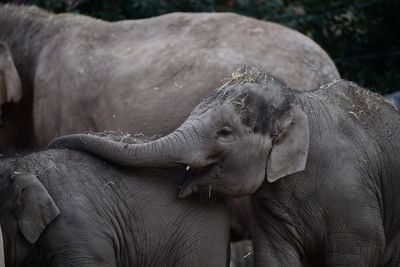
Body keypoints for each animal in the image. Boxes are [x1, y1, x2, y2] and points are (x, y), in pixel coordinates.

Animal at [50, 66, 400, 266]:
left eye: (225, 133)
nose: (54, 142)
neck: (299, 101)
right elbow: (273, 257)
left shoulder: (354, 200)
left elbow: (358, 253)